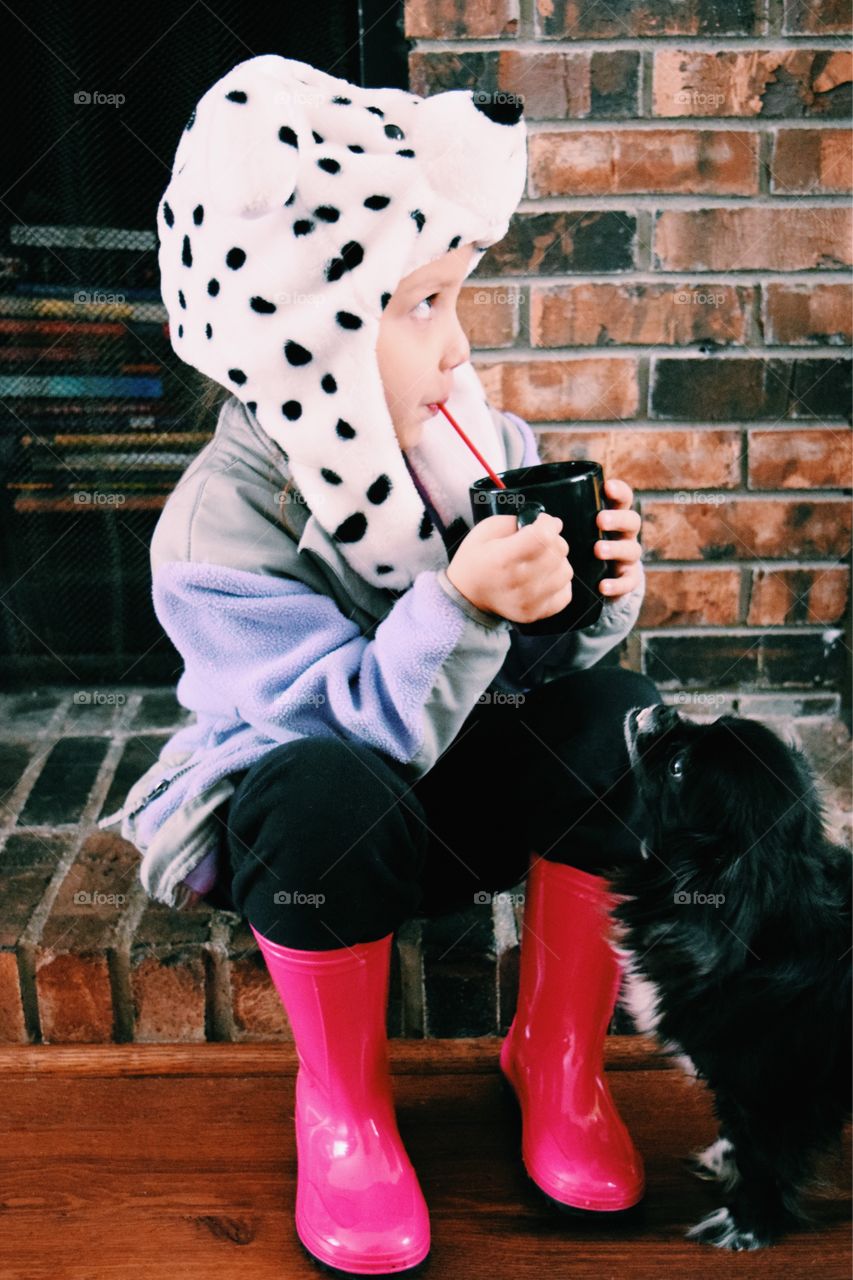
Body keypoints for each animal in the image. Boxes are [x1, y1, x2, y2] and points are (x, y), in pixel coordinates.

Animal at [604, 701, 850, 1249]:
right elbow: (738, 1135)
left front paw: (748, 1224)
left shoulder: (774, 1091)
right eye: (709, 723)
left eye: (678, 769)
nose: (667, 709)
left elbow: (766, 1160)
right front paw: (723, 1161)